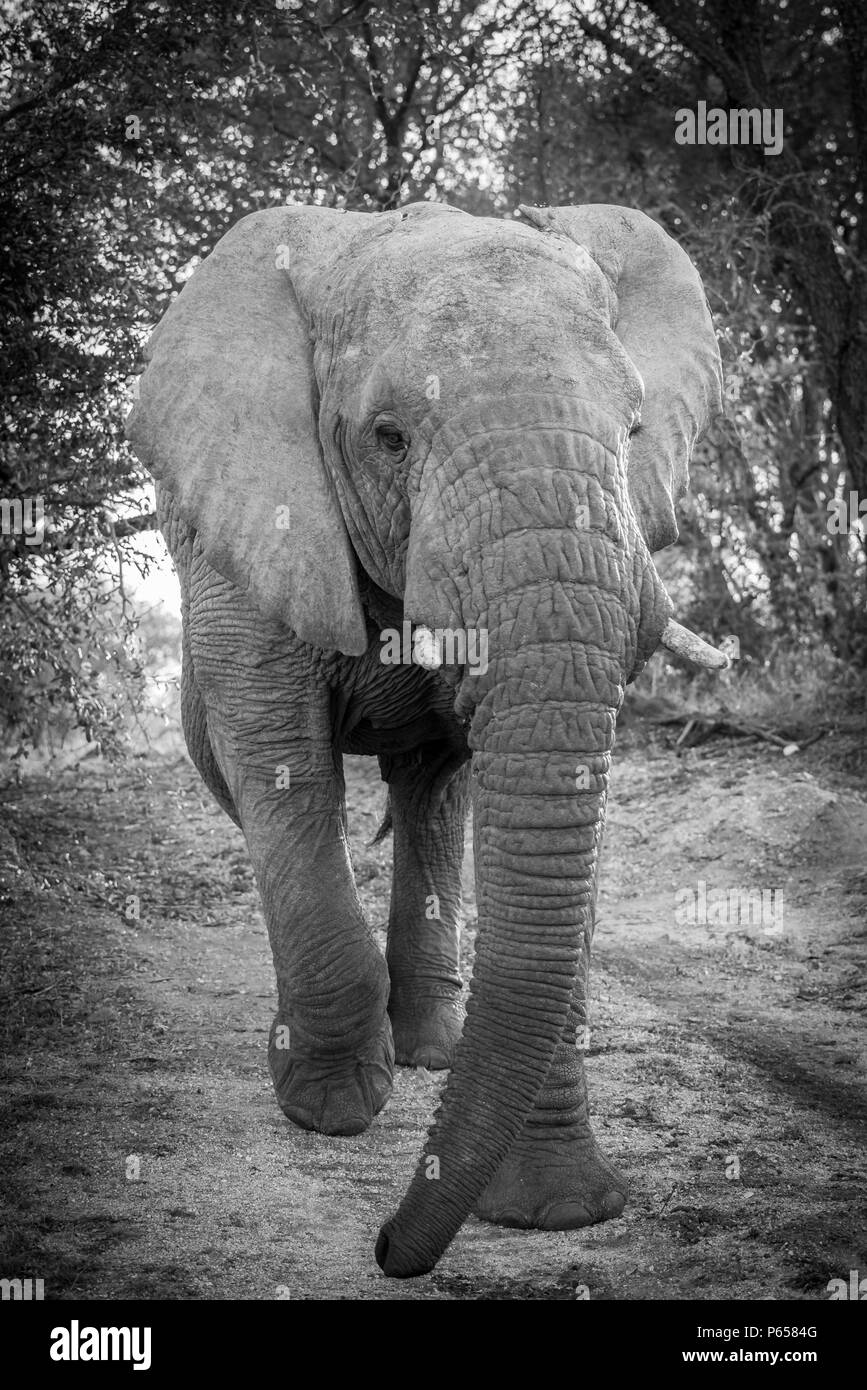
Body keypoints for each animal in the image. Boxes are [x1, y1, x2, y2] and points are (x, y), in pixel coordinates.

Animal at [125, 198, 728, 1278]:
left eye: (633, 430)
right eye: (389, 437)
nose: (385, 1248)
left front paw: (556, 1209)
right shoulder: (252, 538)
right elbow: (283, 766)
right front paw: (328, 1110)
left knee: (432, 787)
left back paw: (434, 1048)